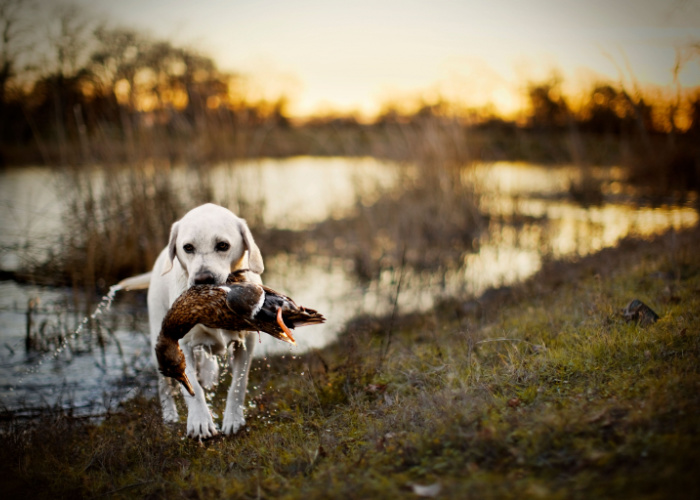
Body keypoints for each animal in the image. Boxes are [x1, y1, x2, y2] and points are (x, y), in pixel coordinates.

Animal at [119, 203, 264, 438]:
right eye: (187, 247)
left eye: (223, 245)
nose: (203, 278)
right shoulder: (179, 344)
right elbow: (192, 387)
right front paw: (200, 421)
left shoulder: (247, 342)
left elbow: (238, 384)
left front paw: (233, 419)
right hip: (158, 340)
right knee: (164, 385)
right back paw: (170, 415)